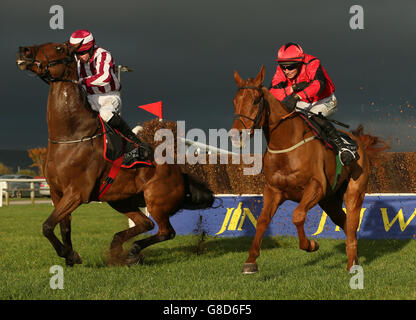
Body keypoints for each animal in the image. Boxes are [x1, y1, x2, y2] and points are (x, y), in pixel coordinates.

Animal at [16, 43, 213, 268]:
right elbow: (62, 227)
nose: (23, 51)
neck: (71, 136)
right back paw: (118, 246)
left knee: (166, 232)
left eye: (58, 48)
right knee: (146, 224)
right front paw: (70, 255)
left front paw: (69, 254)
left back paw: (132, 251)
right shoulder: (57, 192)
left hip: (156, 201)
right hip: (121, 200)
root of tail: (179, 173)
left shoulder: (76, 193)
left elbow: (47, 226)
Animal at [231, 66, 386, 274]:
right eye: (235, 101)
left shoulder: (316, 187)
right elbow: (262, 221)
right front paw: (250, 262)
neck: (286, 146)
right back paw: (354, 259)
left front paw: (311, 245)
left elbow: (297, 216)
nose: (236, 135)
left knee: (353, 223)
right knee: (345, 223)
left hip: (354, 191)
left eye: (256, 100)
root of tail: (359, 142)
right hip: (330, 201)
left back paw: (352, 266)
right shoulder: (273, 190)